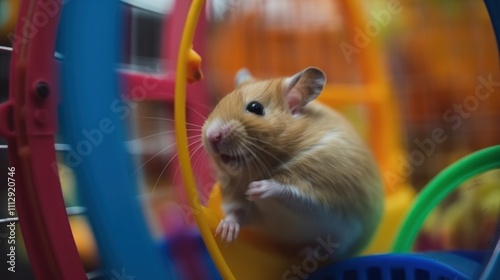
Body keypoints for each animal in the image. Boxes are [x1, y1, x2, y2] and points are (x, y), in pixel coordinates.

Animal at [201, 66, 384, 260]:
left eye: (255, 108)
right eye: (220, 102)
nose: (212, 135)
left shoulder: (318, 185)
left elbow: (289, 190)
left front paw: (256, 189)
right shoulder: (237, 198)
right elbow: (235, 213)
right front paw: (225, 232)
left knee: (332, 251)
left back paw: (307, 254)